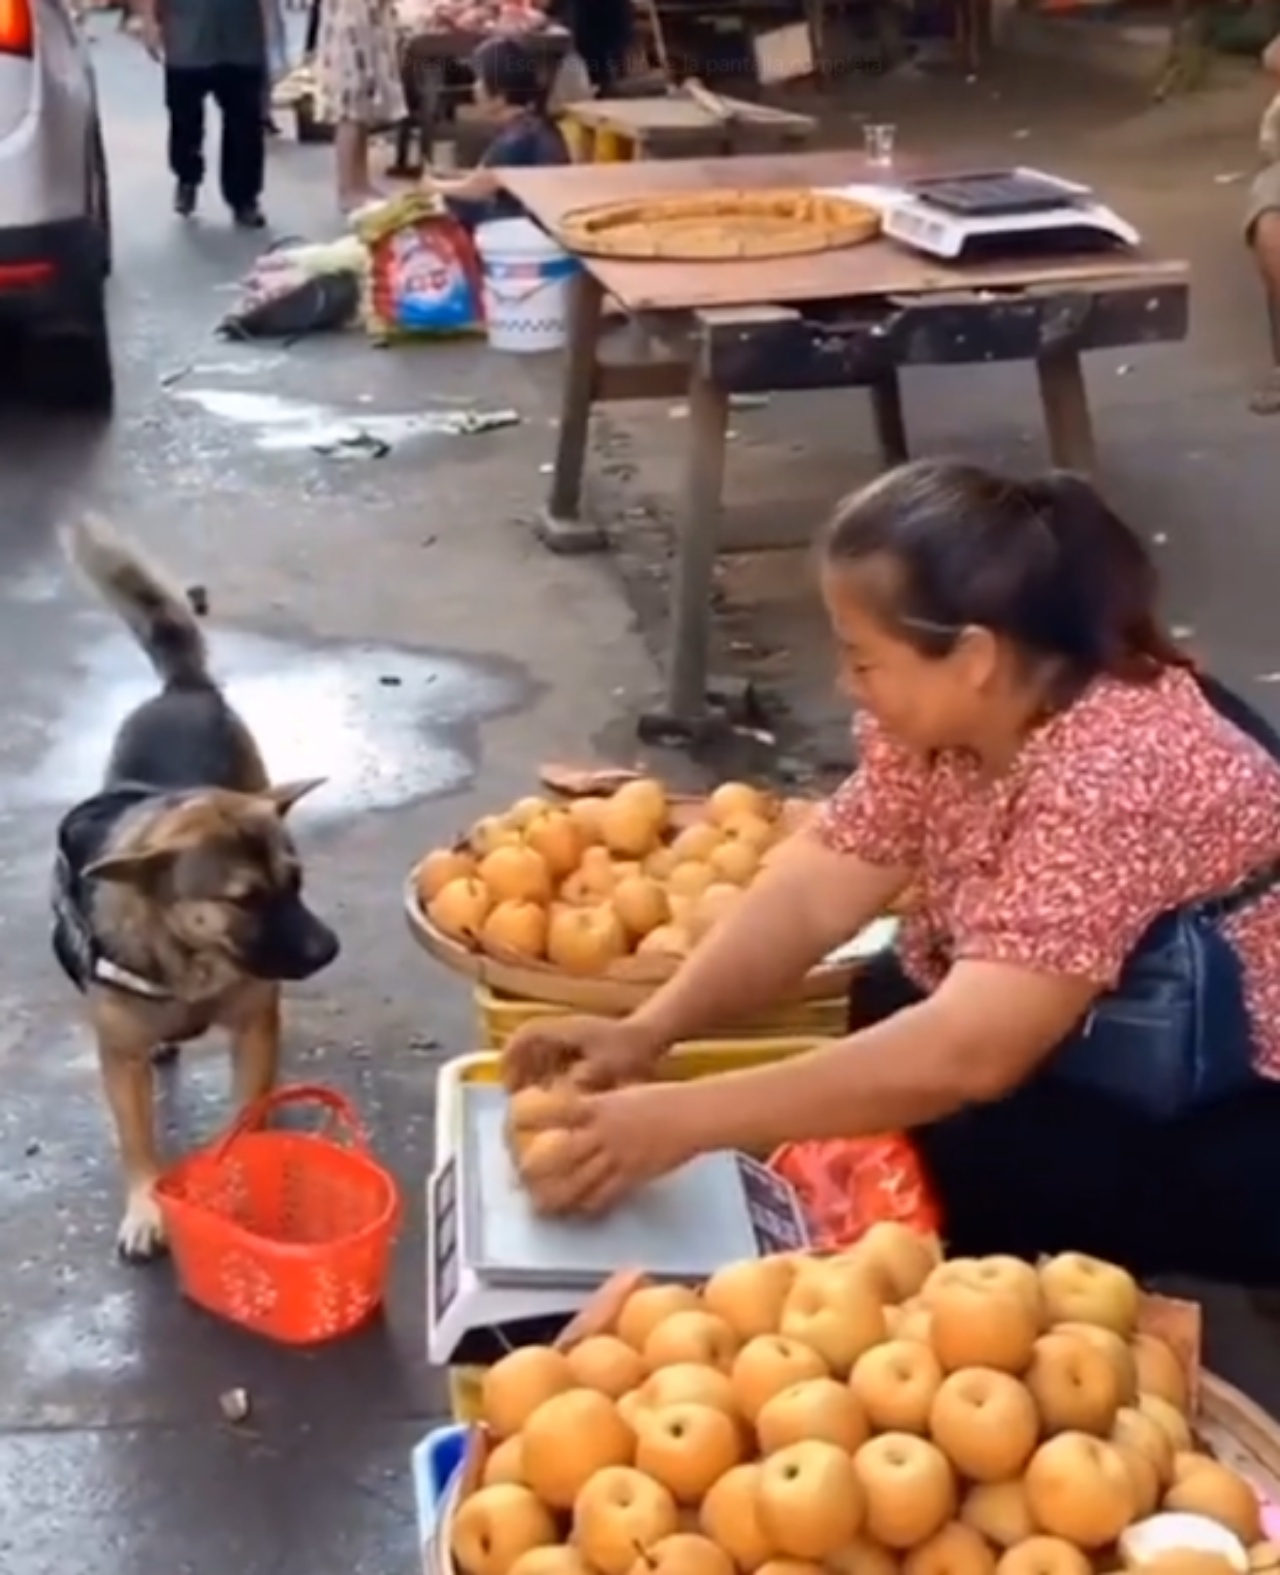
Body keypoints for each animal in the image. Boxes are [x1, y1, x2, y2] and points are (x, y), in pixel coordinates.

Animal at [53, 522, 340, 1260]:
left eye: (296, 881)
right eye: (244, 898)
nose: (327, 950)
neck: (191, 956)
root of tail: (184, 688)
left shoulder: (255, 1025)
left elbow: (248, 1108)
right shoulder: (119, 1059)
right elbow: (136, 1140)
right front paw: (145, 1207)